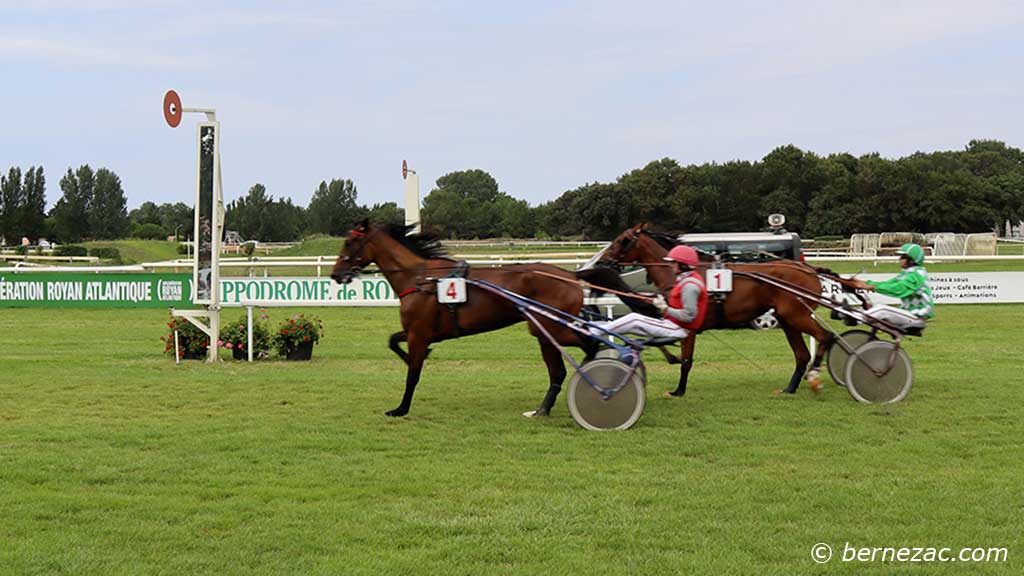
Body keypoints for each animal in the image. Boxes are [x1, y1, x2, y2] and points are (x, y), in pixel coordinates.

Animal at [327, 220, 647, 416]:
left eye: (349, 242)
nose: (335, 274)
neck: (420, 278)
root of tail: (569, 274)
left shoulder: (419, 334)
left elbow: (412, 375)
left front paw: (400, 408)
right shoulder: (419, 332)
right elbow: (393, 341)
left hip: (550, 328)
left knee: (586, 347)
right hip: (545, 330)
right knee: (565, 365)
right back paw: (546, 406)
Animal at [602, 223, 860, 393]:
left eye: (621, 240)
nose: (603, 261)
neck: (680, 274)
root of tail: (809, 269)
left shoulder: (689, 326)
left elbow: (686, 361)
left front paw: (678, 390)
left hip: (796, 315)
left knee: (824, 337)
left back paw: (814, 376)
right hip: (788, 319)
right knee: (802, 354)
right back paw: (790, 388)